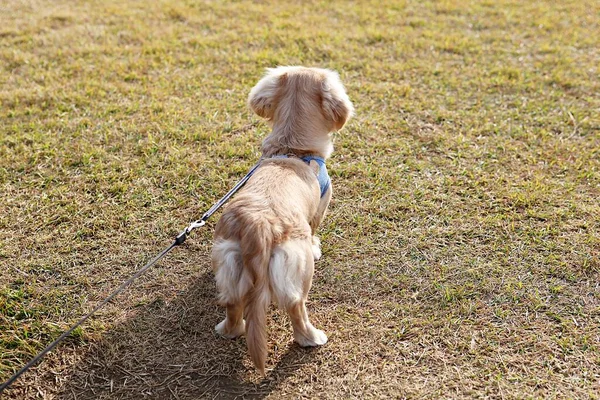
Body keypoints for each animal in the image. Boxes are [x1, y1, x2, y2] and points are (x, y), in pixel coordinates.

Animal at [210, 65, 352, 376]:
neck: (293, 150)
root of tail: (258, 224)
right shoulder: (320, 208)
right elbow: (315, 229)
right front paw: (317, 245)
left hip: (228, 264)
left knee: (232, 306)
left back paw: (228, 329)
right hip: (299, 270)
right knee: (297, 308)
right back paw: (311, 337)